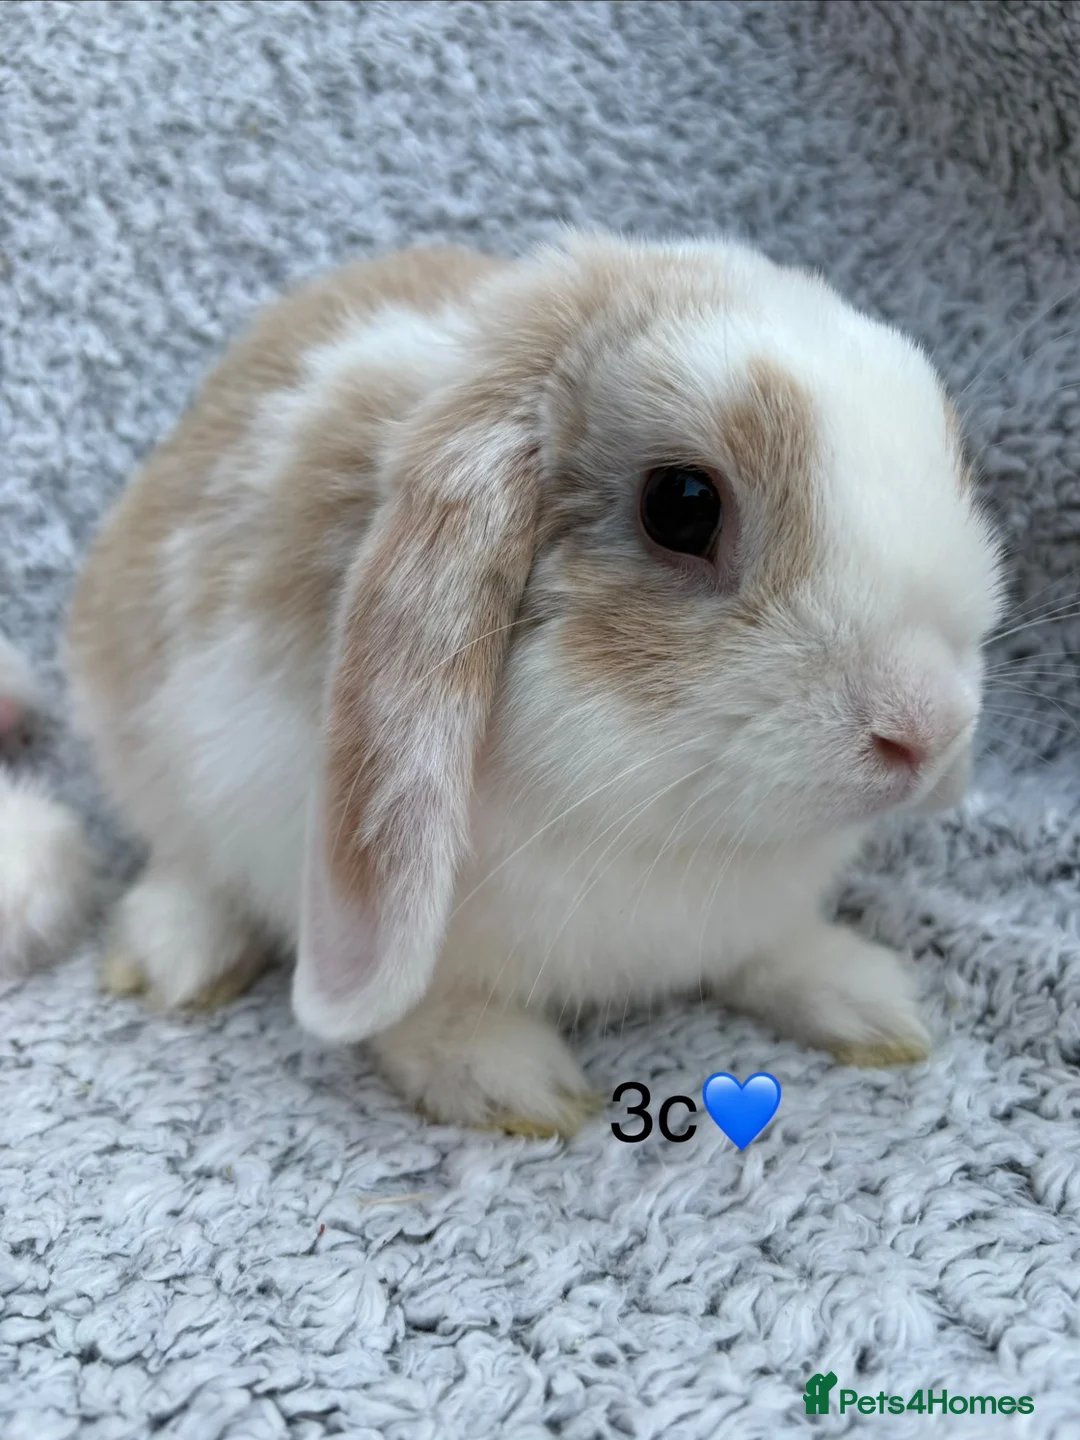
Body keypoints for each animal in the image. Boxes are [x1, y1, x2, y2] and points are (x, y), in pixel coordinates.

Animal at [65, 233, 1004, 1135]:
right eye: (683, 504)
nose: (926, 730)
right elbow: (421, 999)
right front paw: (502, 1080)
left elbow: (770, 950)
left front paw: (869, 1000)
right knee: (184, 857)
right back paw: (178, 958)